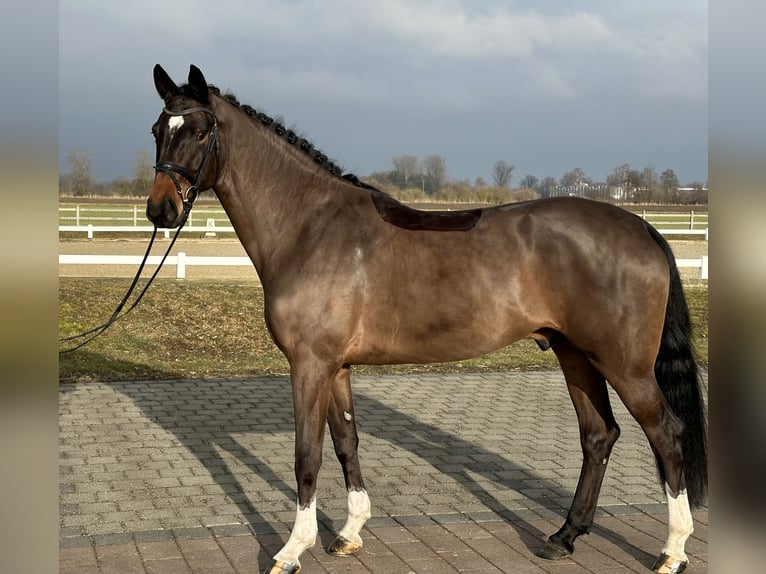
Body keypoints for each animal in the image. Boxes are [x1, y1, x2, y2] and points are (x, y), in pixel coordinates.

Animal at [147, 65, 707, 574]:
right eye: (157, 130)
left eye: (199, 131)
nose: (160, 210)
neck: (311, 227)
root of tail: (641, 228)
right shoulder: (336, 367)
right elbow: (346, 442)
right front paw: (349, 533)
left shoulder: (309, 365)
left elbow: (308, 456)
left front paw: (290, 551)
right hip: (575, 355)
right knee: (599, 436)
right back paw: (564, 537)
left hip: (625, 366)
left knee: (666, 433)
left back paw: (673, 551)